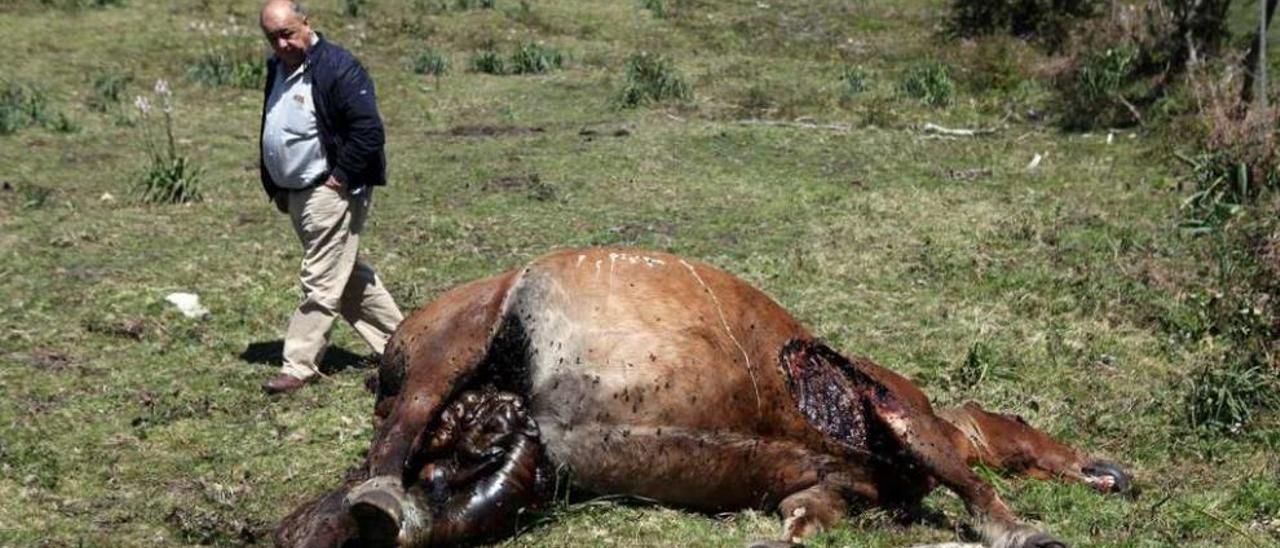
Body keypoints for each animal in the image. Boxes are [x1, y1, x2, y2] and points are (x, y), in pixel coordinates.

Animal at [275, 248, 1126, 548]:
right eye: (1026, 416)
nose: (1112, 470)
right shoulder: (896, 404)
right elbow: (971, 476)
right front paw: (1027, 531)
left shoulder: (827, 488)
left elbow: (807, 520)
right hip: (458, 339)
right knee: (396, 438)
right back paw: (380, 499)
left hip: (496, 441)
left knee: (404, 490)